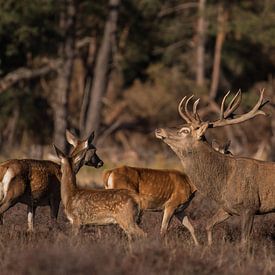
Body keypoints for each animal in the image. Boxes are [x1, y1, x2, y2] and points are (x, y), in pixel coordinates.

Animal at [156, 90, 272, 246]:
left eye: (185, 130)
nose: (158, 130)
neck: (223, 182)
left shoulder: (250, 206)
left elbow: (244, 241)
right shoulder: (227, 207)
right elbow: (208, 225)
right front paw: (209, 246)